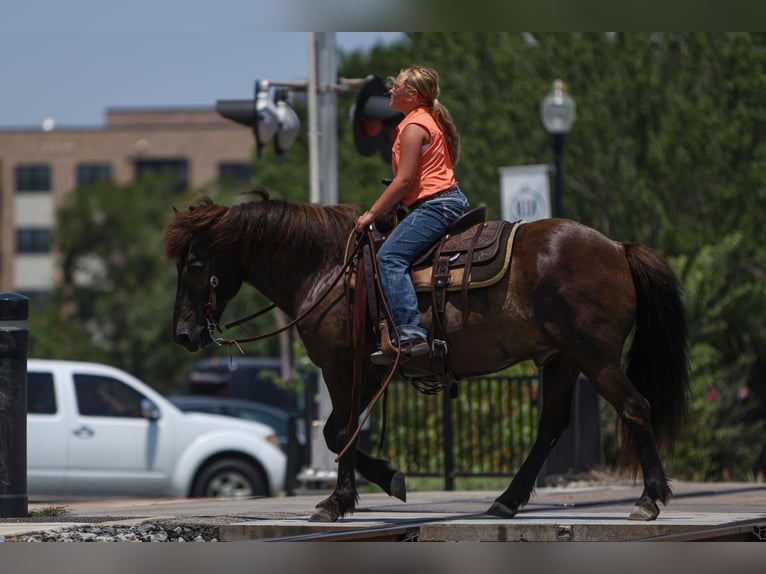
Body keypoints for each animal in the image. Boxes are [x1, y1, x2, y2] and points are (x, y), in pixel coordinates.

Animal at [162, 191, 688, 524]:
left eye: (196, 265)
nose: (183, 334)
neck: (327, 269)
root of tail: (618, 247)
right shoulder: (368, 370)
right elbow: (338, 433)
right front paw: (388, 479)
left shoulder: (341, 366)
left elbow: (341, 432)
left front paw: (337, 502)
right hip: (562, 359)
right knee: (551, 428)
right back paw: (506, 501)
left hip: (595, 357)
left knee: (635, 408)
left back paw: (649, 498)